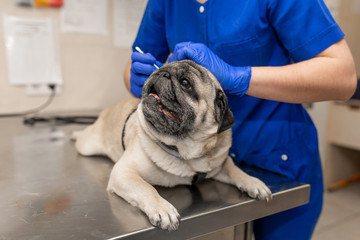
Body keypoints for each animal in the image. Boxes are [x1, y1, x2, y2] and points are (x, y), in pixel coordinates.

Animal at [72, 59, 270, 231]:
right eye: (159, 68)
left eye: (185, 83)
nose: (162, 73)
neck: (184, 152)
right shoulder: (124, 172)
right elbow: (147, 188)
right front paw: (162, 209)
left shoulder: (220, 163)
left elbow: (235, 170)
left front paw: (253, 182)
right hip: (87, 146)